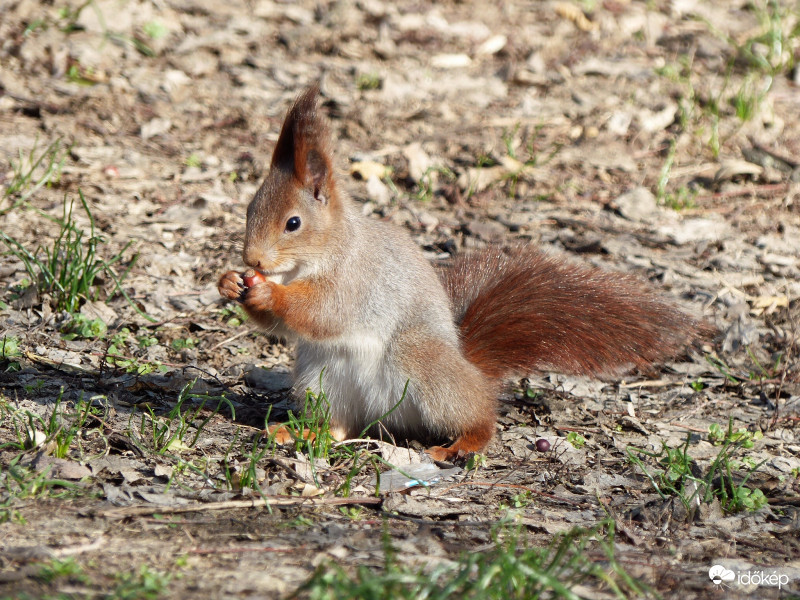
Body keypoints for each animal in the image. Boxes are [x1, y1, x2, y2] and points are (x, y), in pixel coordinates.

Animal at [217, 85, 700, 460]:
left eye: (293, 223)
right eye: (249, 209)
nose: (252, 260)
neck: (317, 258)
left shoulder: (357, 279)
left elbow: (323, 312)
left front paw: (268, 294)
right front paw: (230, 283)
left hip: (419, 361)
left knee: (480, 417)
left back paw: (463, 444)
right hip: (322, 378)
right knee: (339, 427)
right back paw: (301, 432)